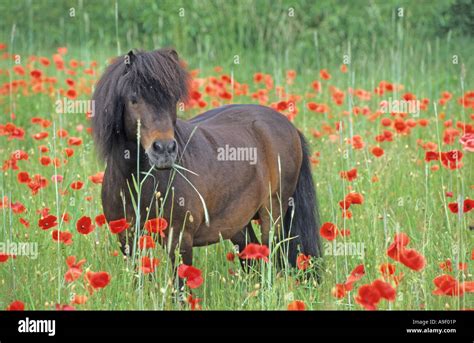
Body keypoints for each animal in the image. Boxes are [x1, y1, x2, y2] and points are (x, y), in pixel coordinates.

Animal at [92, 47, 322, 274]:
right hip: (238, 224)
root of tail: (288, 124)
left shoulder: (179, 239)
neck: (137, 180)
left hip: (272, 213)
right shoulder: (127, 239)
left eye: (173, 100)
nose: (165, 150)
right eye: (134, 99)